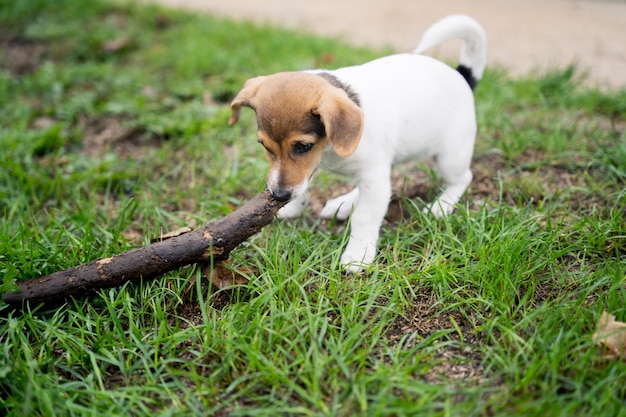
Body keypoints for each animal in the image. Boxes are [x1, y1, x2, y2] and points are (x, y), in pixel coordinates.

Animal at [227, 14, 486, 272]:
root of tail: (462, 75)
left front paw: (358, 254)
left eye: (303, 146)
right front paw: (294, 206)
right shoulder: (320, 170)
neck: (329, 149)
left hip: (449, 158)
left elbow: (364, 217)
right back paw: (343, 204)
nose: (280, 196)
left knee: (464, 178)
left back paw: (442, 205)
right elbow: (304, 185)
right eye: (264, 146)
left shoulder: (372, 174)